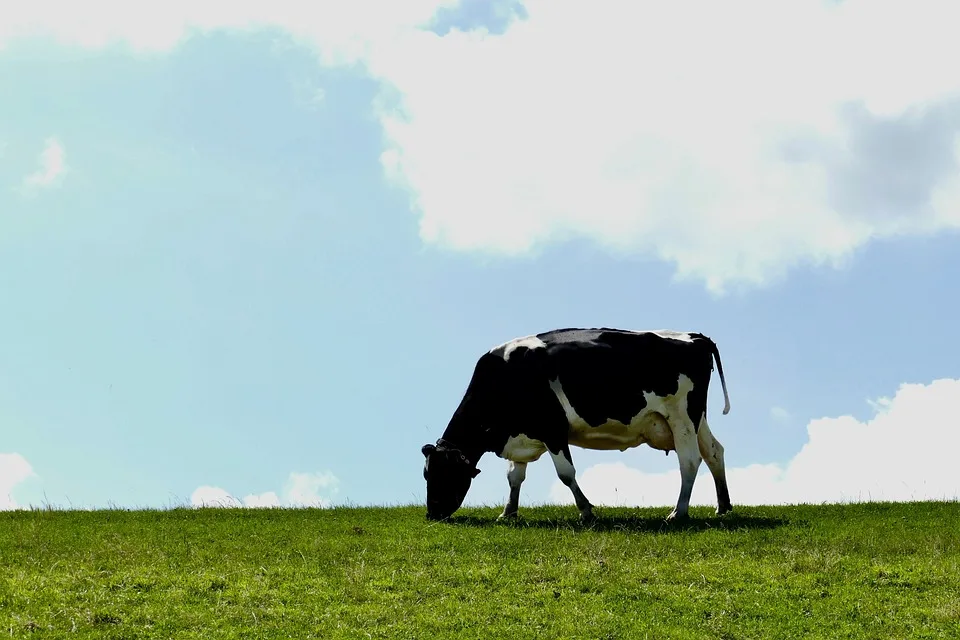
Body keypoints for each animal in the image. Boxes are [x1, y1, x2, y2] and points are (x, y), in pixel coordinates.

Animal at [422, 328, 736, 524]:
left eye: (440, 473)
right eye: (426, 474)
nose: (431, 514)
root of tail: (696, 337)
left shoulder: (552, 428)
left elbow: (565, 474)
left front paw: (586, 511)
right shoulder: (522, 433)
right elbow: (514, 477)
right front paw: (508, 512)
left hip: (682, 417)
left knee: (690, 460)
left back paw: (678, 512)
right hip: (697, 419)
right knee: (714, 452)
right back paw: (723, 506)